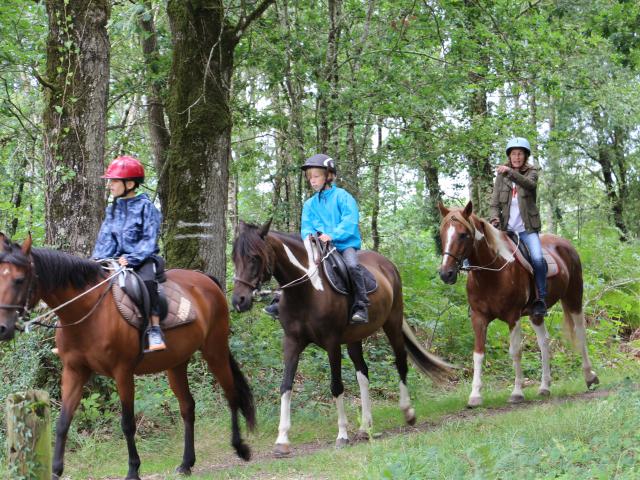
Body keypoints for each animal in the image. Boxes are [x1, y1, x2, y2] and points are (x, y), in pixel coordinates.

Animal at [0, 235, 255, 480]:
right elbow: (63, 422)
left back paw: (240, 448)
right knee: (187, 407)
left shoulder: (122, 373)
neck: (88, 312)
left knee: (231, 394)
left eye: (19, 280)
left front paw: (133, 470)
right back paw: (186, 464)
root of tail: (206, 281)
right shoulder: (74, 371)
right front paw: (55, 471)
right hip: (176, 364)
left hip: (214, 351)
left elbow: (127, 424)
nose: (3, 328)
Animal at [232, 219, 452, 456]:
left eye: (254, 257)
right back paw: (365, 428)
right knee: (363, 374)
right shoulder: (291, 342)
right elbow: (286, 386)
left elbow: (336, 386)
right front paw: (282, 439)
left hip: (392, 323)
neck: (307, 290)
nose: (238, 301)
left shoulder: (332, 344)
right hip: (355, 337)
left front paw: (342, 435)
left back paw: (408, 412)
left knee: (400, 362)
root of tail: (388, 265)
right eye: (234, 257)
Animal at [438, 201, 596, 406]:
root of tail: (566, 244)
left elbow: (515, 351)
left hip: (574, 297)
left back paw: (590, 377)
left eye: (464, 234)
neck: (492, 272)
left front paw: (517, 392)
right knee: (544, 342)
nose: (446, 274)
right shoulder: (479, 318)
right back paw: (544, 387)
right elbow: (478, 354)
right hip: (536, 314)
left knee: (580, 332)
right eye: (442, 233)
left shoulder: (513, 317)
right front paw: (475, 395)